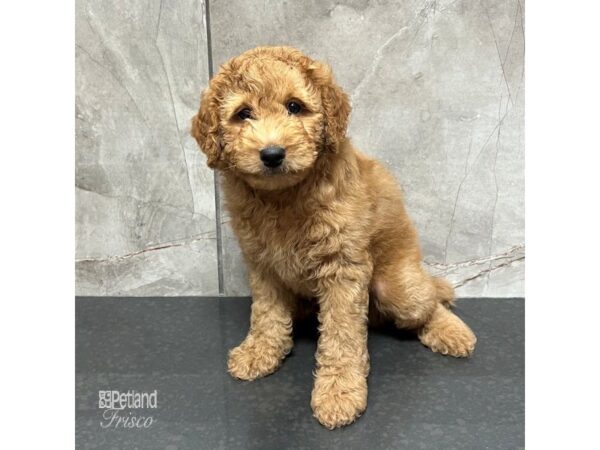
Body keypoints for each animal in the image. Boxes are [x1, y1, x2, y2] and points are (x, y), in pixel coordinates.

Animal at [192, 45, 478, 428]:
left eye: (295, 106)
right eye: (243, 114)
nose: (272, 154)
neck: (284, 196)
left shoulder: (343, 268)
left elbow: (342, 335)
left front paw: (339, 392)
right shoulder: (263, 265)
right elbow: (266, 314)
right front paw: (260, 351)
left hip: (399, 288)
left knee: (430, 303)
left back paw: (452, 332)